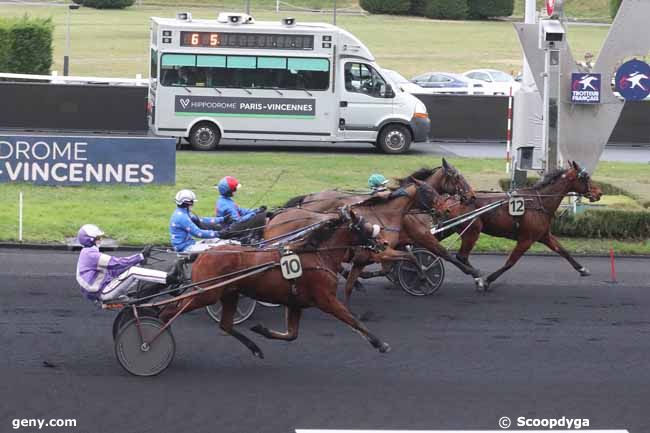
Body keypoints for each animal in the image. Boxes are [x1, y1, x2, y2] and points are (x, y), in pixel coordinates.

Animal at [158, 208, 410, 356]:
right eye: (366, 227)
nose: (384, 243)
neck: (319, 254)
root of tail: (203, 255)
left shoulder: (295, 302)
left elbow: (292, 335)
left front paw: (262, 329)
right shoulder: (326, 299)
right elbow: (353, 320)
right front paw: (380, 343)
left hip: (229, 293)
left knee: (225, 325)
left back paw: (255, 348)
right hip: (206, 294)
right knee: (168, 312)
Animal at [432, 160, 600, 288]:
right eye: (585, 177)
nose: (599, 193)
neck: (539, 202)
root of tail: (450, 199)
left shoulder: (544, 235)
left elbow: (563, 251)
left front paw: (582, 269)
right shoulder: (526, 239)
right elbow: (510, 262)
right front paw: (487, 280)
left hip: (452, 229)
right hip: (472, 231)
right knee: (461, 256)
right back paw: (477, 277)